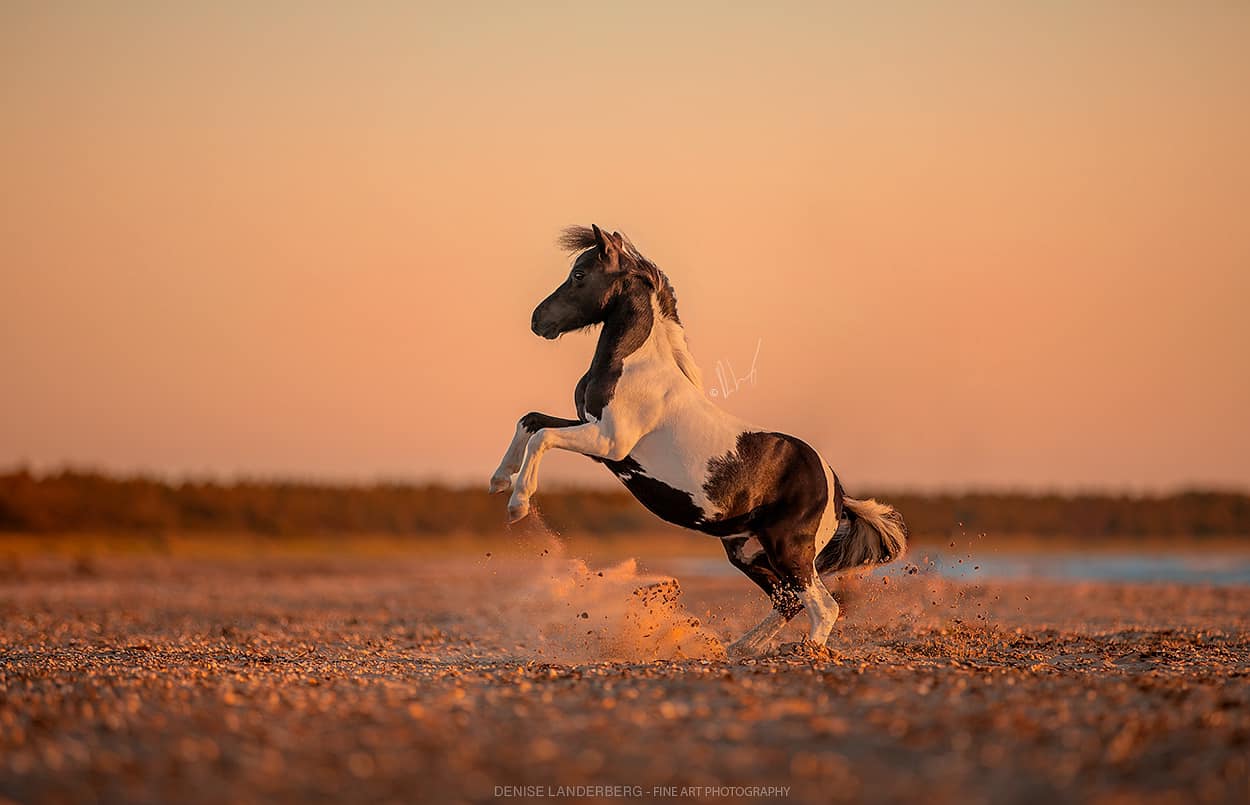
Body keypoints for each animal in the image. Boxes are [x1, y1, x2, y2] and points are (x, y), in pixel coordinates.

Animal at [490, 225, 907, 656]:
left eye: (579, 275)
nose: (539, 320)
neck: (637, 365)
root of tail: (838, 491)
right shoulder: (592, 432)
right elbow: (530, 421)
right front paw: (500, 479)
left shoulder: (609, 443)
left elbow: (542, 436)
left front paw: (517, 505)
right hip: (746, 551)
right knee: (787, 601)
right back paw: (737, 648)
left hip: (790, 550)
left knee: (822, 606)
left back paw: (803, 651)